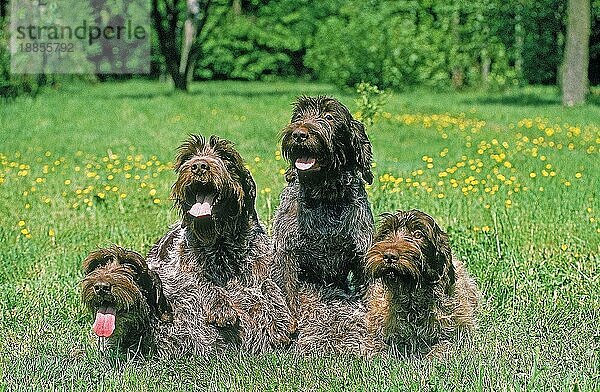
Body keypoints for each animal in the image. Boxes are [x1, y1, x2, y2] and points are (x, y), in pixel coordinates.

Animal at [146, 135, 296, 356]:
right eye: (188, 157)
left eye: (226, 157)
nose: (199, 166)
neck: (221, 246)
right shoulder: (175, 274)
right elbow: (202, 281)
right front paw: (220, 306)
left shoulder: (267, 268)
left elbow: (270, 285)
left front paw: (280, 321)